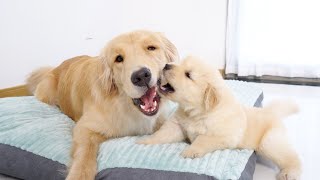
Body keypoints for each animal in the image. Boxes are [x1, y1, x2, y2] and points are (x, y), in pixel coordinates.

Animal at [26, 30, 179, 179]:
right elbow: (84, 155)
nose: (141, 76)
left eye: (151, 48)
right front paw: (79, 174)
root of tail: (55, 67)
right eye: (118, 58)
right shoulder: (84, 127)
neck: (128, 107)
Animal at [139, 56, 302, 180]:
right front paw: (145, 141)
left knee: (293, 158)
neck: (196, 113)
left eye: (188, 75)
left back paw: (288, 173)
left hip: (269, 142)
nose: (166, 65)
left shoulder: (225, 135)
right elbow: (162, 133)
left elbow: (202, 139)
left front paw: (190, 151)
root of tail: (273, 113)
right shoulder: (177, 125)